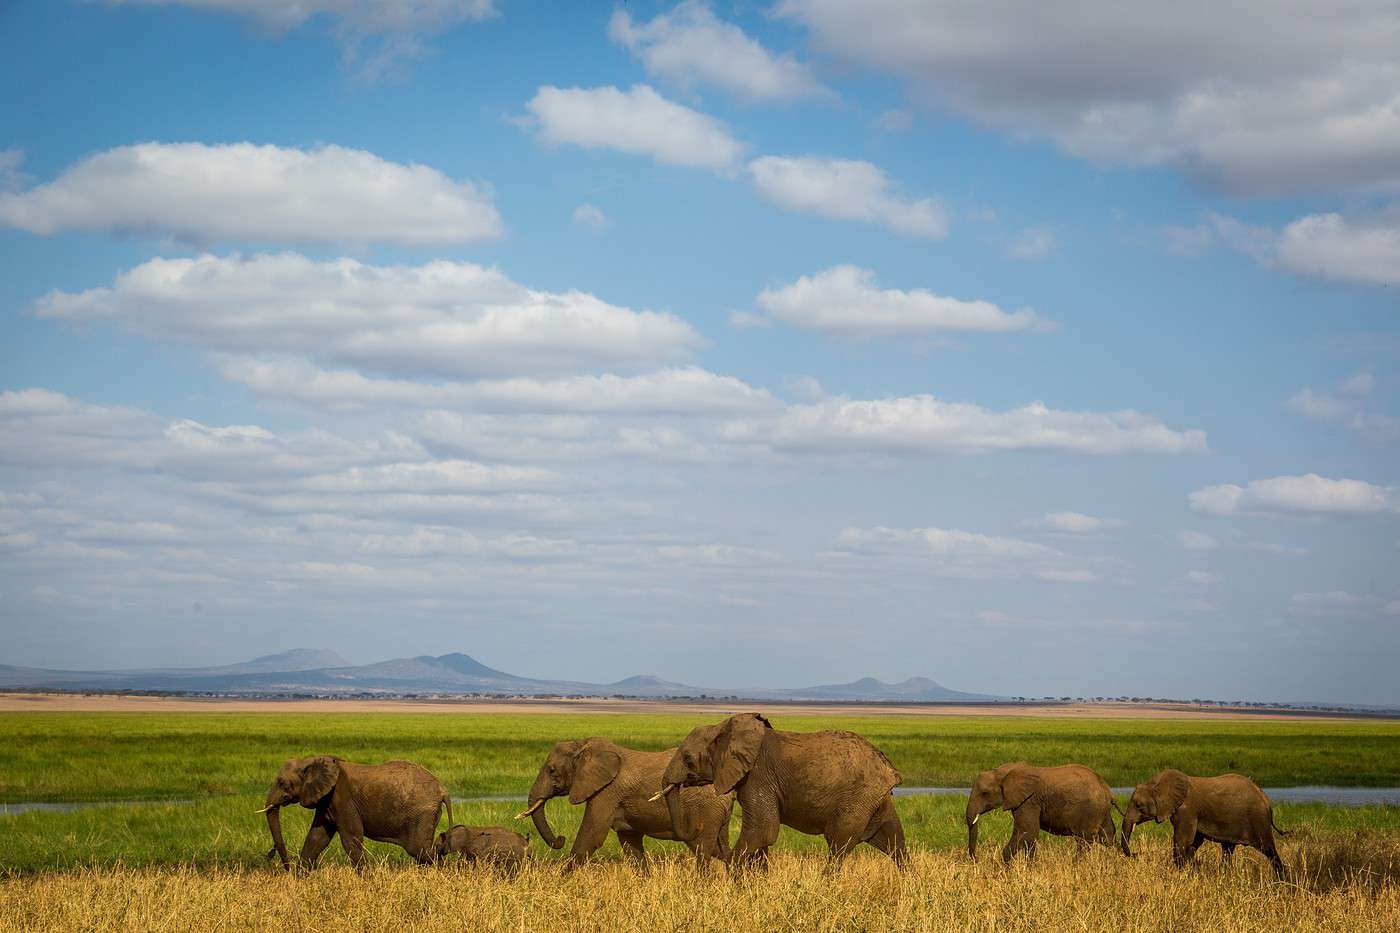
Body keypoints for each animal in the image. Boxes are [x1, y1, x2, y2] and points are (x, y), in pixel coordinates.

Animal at [252, 750, 448, 868]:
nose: (287, 868)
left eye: (282, 783)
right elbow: (317, 838)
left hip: (422, 813)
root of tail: (442, 789)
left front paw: (368, 878)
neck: (312, 760)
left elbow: (350, 839)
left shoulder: (342, 797)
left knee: (419, 850)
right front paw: (299, 880)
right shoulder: (326, 800)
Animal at [518, 734, 733, 862]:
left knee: (703, 849)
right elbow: (630, 843)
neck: (583, 745)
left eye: (552, 770)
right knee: (721, 850)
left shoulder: (607, 791)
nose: (561, 838)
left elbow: (591, 836)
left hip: (706, 811)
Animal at [649, 711, 901, 862]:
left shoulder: (758, 776)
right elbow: (762, 836)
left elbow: (763, 831)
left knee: (840, 844)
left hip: (858, 798)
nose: (697, 828)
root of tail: (890, 770)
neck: (723, 728)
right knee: (893, 840)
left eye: (688, 759)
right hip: (875, 800)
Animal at [968, 762, 1120, 862]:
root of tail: (1108, 790)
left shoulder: (1029, 801)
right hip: (1102, 812)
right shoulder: (1022, 802)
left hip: (1090, 811)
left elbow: (1028, 832)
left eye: (984, 793)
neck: (1004, 771)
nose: (976, 860)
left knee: (1084, 841)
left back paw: (1076, 865)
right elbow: (1029, 835)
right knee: (1107, 837)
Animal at [1120, 767, 1282, 874]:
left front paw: (1183, 872)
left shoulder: (1187, 810)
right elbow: (1194, 842)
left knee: (1269, 849)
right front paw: (1192, 868)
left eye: (1139, 806)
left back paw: (1282, 882)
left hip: (1258, 819)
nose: (1136, 854)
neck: (1158, 782)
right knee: (1228, 849)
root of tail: (1266, 799)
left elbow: (1182, 840)